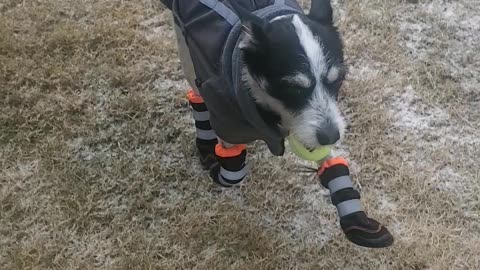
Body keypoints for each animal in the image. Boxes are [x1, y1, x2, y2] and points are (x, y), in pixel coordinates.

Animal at [161, 0, 394, 249]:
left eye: (337, 80)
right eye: (292, 88)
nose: (332, 136)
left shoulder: (315, 127)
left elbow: (328, 159)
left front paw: (354, 216)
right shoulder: (224, 113)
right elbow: (233, 167)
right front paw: (218, 166)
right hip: (186, 49)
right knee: (194, 88)